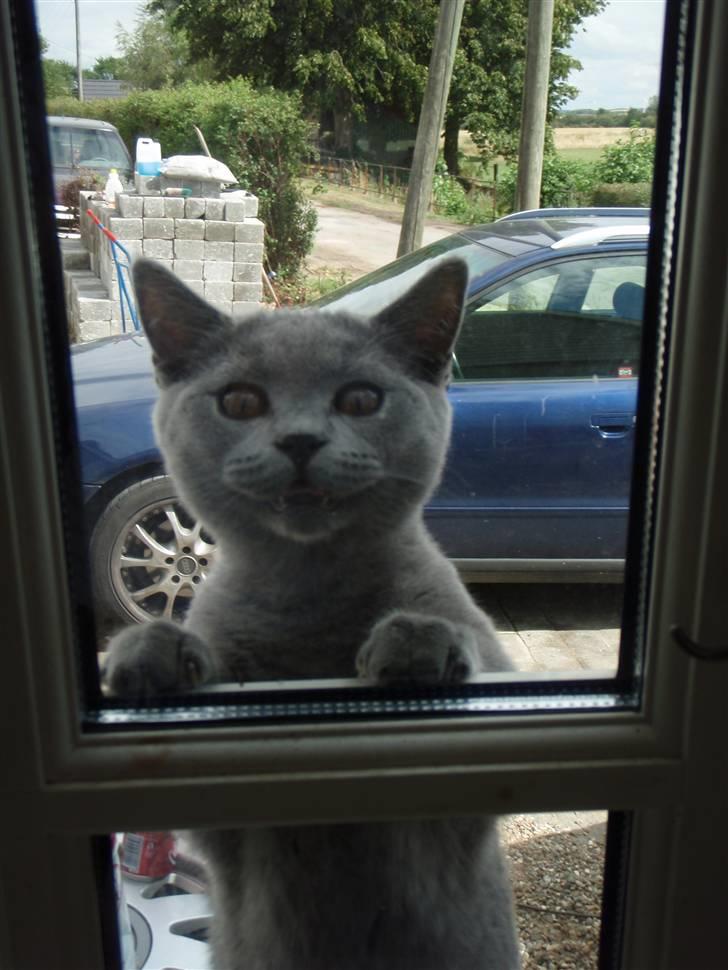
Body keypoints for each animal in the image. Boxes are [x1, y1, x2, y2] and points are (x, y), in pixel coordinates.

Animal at [105, 258, 520, 968]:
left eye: (360, 400)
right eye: (241, 402)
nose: (300, 440)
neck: (306, 596)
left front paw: (415, 641)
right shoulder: (220, 841)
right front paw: (150, 650)